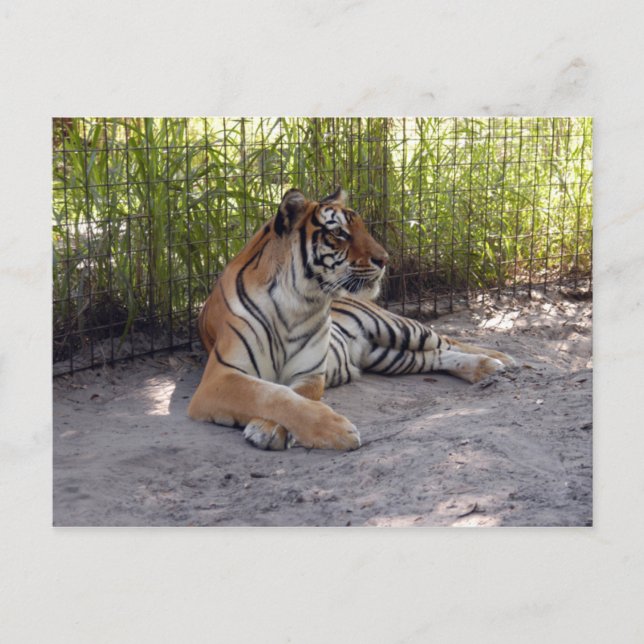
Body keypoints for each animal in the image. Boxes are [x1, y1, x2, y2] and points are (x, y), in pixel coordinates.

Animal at [188, 187, 514, 450]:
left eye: (362, 228)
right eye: (339, 233)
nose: (385, 259)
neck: (297, 301)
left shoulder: (310, 374)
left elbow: (294, 396)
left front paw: (274, 427)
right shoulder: (221, 376)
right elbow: (273, 395)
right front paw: (328, 429)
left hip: (397, 328)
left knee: (447, 339)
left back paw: (499, 360)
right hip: (390, 356)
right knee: (436, 356)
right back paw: (486, 368)